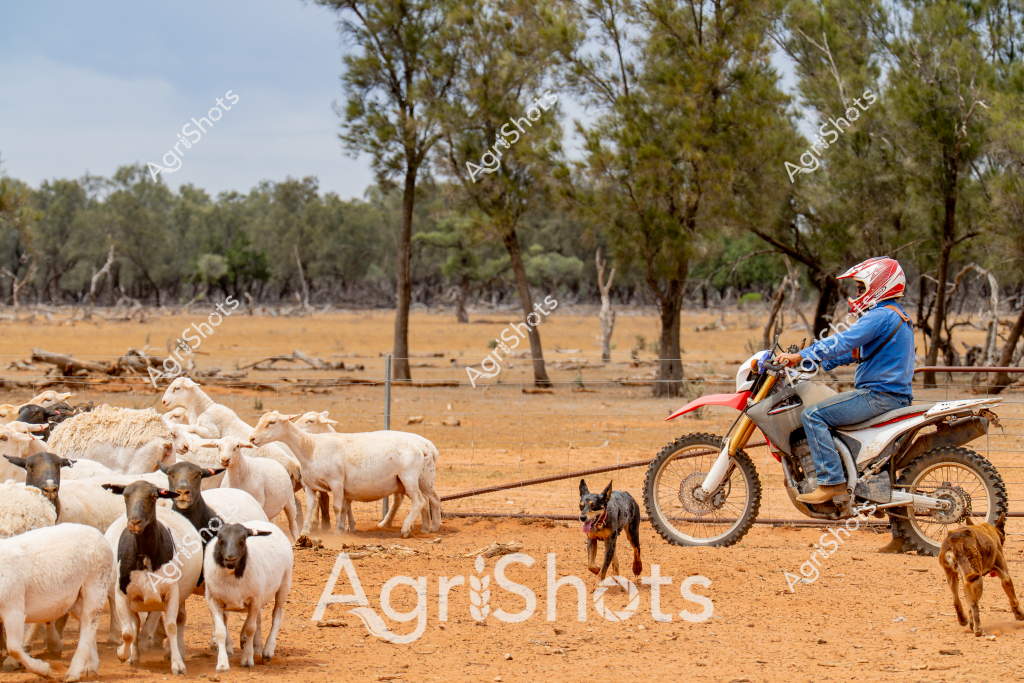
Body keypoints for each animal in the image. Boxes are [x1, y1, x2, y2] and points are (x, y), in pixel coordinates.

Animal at [0, 523, 113, 681]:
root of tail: (98, 533)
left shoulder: (13, 609)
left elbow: (14, 649)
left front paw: (44, 670)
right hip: (74, 600)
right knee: (88, 624)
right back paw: (91, 666)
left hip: (96, 585)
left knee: (88, 623)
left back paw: (74, 671)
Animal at [102, 481, 202, 675]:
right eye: (125, 495)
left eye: (153, 496)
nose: (134, 522)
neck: (144, 555)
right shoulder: (121, 595)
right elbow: (128, 632)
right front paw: (123, 654)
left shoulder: (171, 592)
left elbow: (171, 626)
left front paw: (177, 664)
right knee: (134, 625)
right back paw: (134, 654)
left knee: (176, 619)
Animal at [204, 521, 292, 671]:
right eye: (220, 539)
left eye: (243, 540)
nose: (230, 559)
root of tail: (265, 522)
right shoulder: (213, 601)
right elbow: (221, 631)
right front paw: (222, 664)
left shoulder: (255, 601)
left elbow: (251, 629)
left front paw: (247, 659)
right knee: (259, 618)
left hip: (284, 583)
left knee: (277, 615)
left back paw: (268, 650)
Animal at [250, 412, 436, 537]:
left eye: (271, 422)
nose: (252, 438)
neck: (311, 447)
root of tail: (421, 447)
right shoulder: (309, 485)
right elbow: (310, 507)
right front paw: (305, 532)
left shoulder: (337, 482)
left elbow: (337, 507)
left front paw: (338, 530)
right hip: (406, 482)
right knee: (424, 500)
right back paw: (425, 528)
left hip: (409, 477)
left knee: (420, 501)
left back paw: (407, 528)